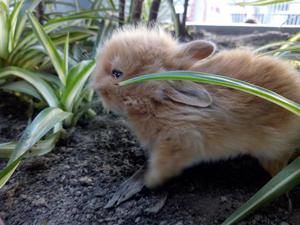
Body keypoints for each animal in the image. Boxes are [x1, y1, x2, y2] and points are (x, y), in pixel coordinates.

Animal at [92, 25, 300, 189]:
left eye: (116, 73)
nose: (94, 85)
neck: (160, 101)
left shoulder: (180, 141)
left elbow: (163, 166)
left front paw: (148, 181)